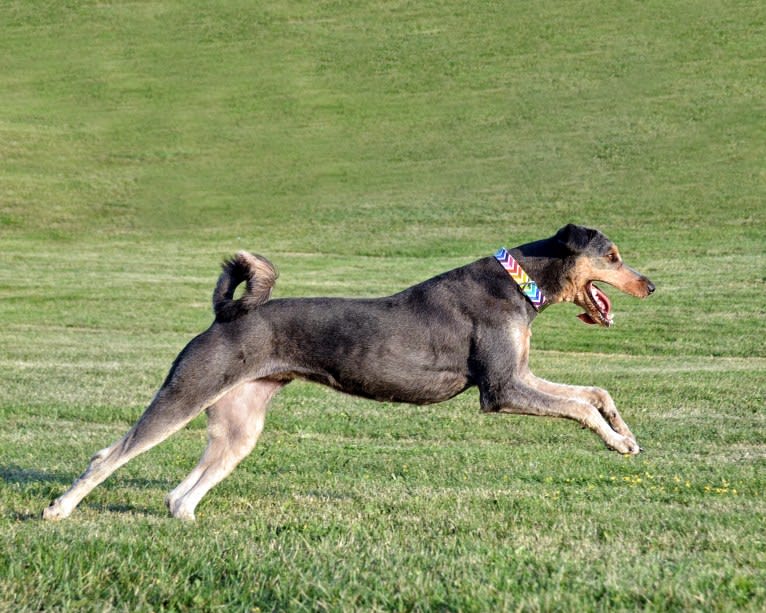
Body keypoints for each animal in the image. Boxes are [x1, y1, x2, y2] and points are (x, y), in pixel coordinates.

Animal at [40, 222, 656, 520]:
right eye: (613, 256)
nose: (652, 285)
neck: (518, 283)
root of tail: (225, 317)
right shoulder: (502, 389)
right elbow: (578, 406)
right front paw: (612, 440)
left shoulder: (519, 380)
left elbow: (595, 391)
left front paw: (625, 435)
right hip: (186, 391)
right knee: (108, 455)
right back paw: (58, 510)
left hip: (240, 422)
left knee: (179, 493)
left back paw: (185, 517)